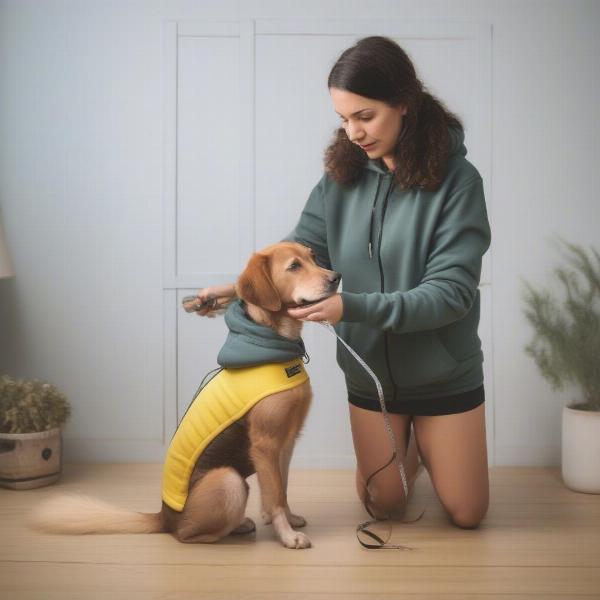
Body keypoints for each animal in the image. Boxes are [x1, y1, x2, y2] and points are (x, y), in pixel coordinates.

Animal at [31, 243, 342, 548]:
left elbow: (282, 488)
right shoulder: (266, 444)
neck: (271, 345)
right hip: (228, 480)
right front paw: (287, 535)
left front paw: (290, 519)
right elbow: (274, 496)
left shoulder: (286, 442)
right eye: (294, 266)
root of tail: (163, 517)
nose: (336, 277)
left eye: (313, 257)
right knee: (187, 535)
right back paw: (234, 526)